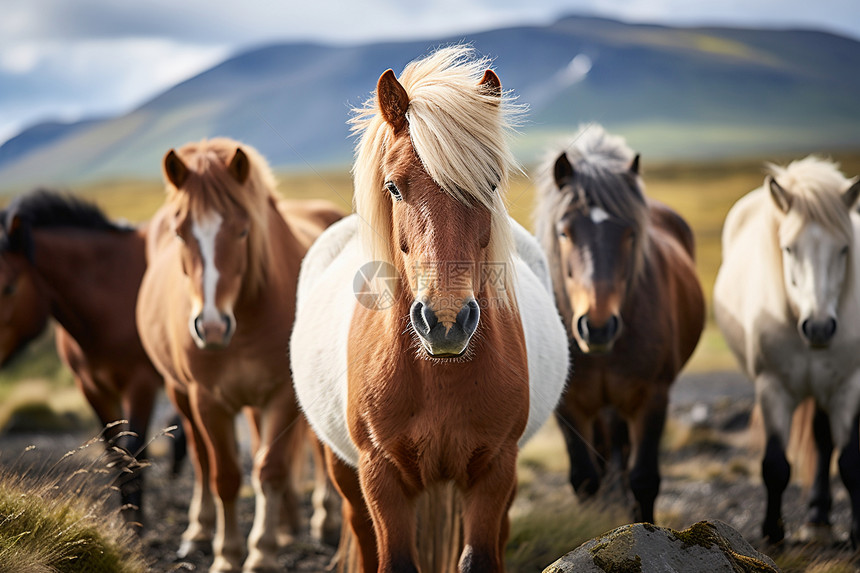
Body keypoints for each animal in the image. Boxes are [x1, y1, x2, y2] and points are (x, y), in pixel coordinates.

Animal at [137, 140, 340, 572]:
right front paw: (227, 555)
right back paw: (199, 532)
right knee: (200, 458)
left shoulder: (283, 394)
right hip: (181, 393)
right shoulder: (209, 400)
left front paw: (262, 552)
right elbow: (225, 476)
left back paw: (319, 522)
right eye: (180, 234)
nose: (212, 327)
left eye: (243, 230)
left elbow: (271, 469)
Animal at [290, 45, 572, 572]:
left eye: (492, 184)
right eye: (394, 187)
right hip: (343, 468)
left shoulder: (496, 469)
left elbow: (480, 556)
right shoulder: (380, 474)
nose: (445, 322)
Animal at [532, 124, 704, 524]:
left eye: (629, 234)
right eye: (564, 232)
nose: (597, 326)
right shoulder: (568, 406)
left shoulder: (653, 398)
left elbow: (644, 478)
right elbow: (584, 479)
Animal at [716, 154, 860, 544]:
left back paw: (819, 516)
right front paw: (772, 532)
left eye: (844, 248)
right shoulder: (773, 387)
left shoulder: (848, 386)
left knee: (824, 441)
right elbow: (775, 465)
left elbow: (848, 461)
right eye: (788, 248)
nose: (820, 327)